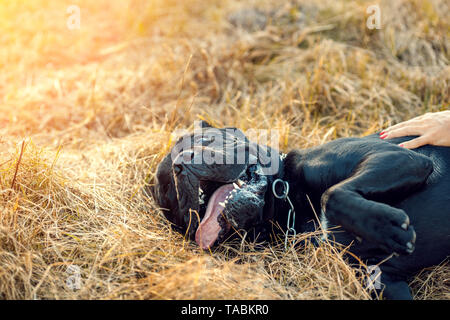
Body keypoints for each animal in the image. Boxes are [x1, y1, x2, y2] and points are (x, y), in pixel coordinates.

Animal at [155, 121, 450, 298]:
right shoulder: (383, 279)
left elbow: (331, 195)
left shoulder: (402, 157)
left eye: (206, 139)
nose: (182, 164)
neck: (288, 206)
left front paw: (390, 228)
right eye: (168, 188)